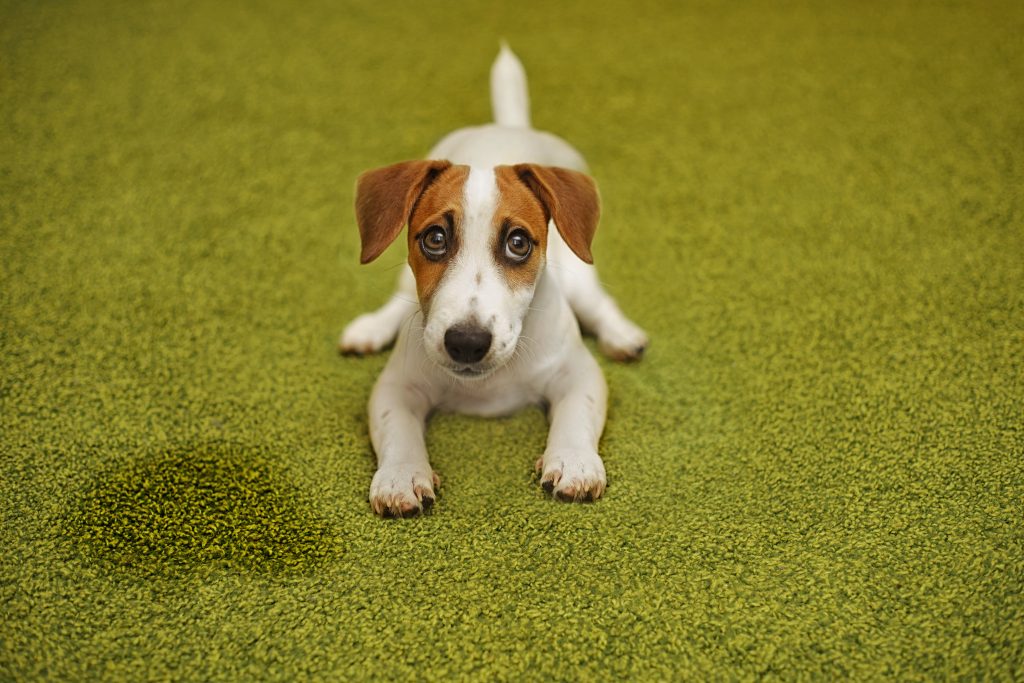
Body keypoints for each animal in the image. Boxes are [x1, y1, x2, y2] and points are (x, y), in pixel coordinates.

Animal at [344, 45, 647, 516]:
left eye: (518, 243)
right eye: (434, 238)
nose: (467, 343)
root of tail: (507, 124)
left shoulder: (578, 374)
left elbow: (576, 414)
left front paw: (574, 460)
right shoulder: (396, 388)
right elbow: (399, 430)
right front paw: (401, 475)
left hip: (580, 276)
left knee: (599, 305)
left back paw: (622, 335)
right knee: (396, 303)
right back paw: (370, 328)